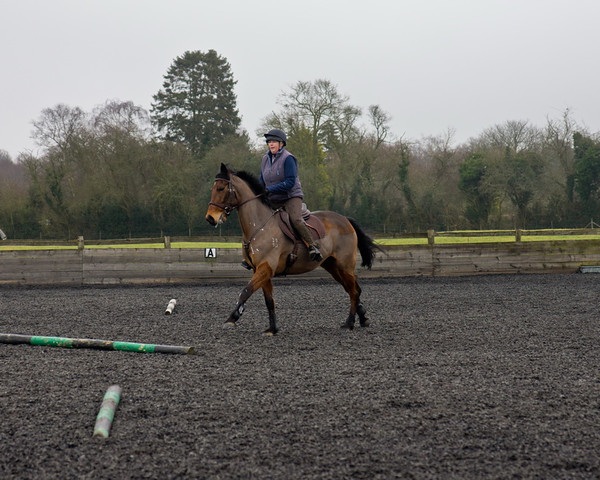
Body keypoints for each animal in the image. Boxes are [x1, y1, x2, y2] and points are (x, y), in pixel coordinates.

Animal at [206, 163, 380, 336]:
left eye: (221, 188)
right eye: (213, 189)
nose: (210, 218)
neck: (260, 226)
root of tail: (345, 220)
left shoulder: (265, 268)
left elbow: (246, 291)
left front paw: (232, 317)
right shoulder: (261, 270)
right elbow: (269, 300)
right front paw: (272, 329)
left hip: (345, 266)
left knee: (353, 291)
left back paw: (349, 323)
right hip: (333, 266)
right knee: (352, 289)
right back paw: (363, 319)